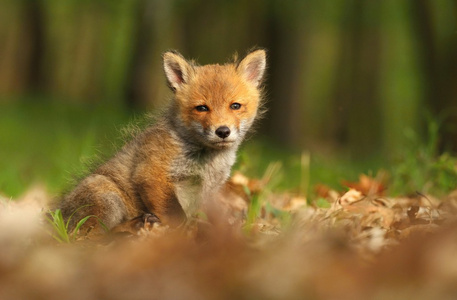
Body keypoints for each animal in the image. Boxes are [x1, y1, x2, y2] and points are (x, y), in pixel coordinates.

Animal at [60, 48, 268, 234]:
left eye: (235, 106)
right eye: (202, 108)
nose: (223, 131)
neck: (206, 162)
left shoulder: (208, 191)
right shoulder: (152, 174)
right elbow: (177, 217)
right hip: (107, 197)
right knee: (87, 236)